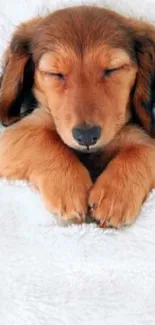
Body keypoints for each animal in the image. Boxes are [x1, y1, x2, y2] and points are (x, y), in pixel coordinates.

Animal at [0, 5, 155, 228]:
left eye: (112, 69)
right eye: (55, 73)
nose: (87, 136)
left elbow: (142, 150)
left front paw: (115, 196)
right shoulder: (17, 133)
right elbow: (43, 139)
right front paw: (70, 187)